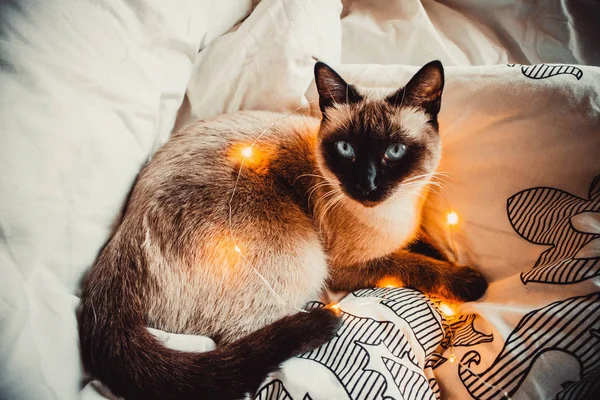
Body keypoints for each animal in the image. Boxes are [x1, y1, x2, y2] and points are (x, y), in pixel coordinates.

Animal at [77, 59, 488, 400]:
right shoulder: (348, 267)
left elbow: (427, 247)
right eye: (346, 149)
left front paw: (447, 256)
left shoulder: (406, 231)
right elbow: (414, 265)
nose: (367, 185)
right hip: (306, 263)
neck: (393, 214)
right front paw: (471, 281)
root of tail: (119, 242)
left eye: (396, 151)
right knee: (229, 352)